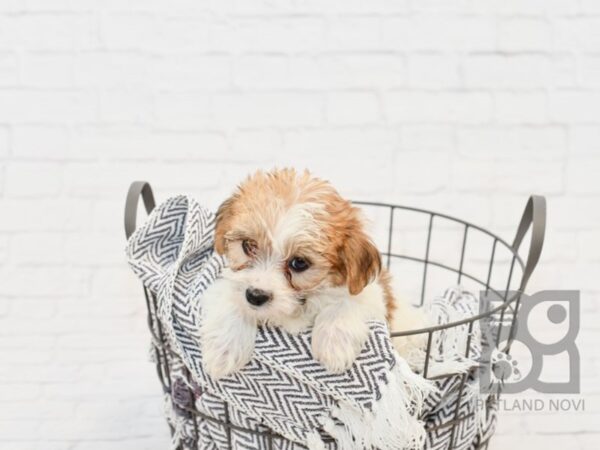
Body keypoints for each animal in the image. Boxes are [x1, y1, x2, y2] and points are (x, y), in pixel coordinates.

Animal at [200, 167, 422, 378]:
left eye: (299, 263)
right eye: (248, 246)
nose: (255, 296)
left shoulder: (370, 295)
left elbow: (348, 301)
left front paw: (334, 345)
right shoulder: (224, 283)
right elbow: (230, 297)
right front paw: (224, 350)